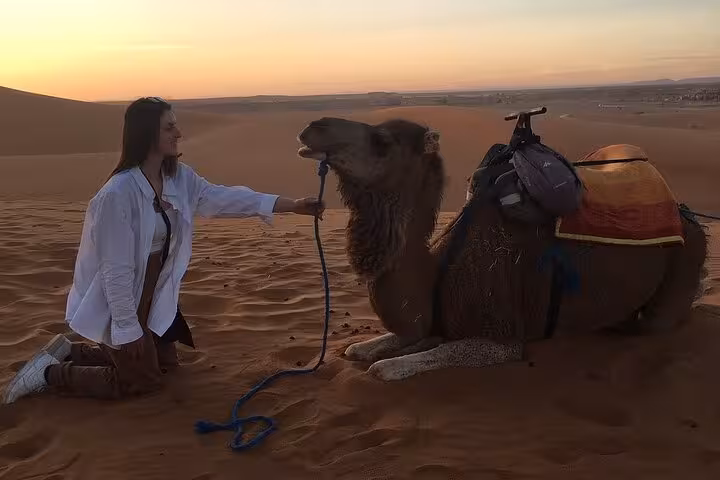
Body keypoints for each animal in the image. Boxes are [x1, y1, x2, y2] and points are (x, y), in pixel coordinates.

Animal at [296, 116, 709, 381]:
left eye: (383, 141)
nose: (313, 127)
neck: (439, 272)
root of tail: (684, 210)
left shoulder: (504, 337)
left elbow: (388, 367)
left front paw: (389, 363)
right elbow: (365, 348)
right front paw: (364, 348)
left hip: (686, 258)